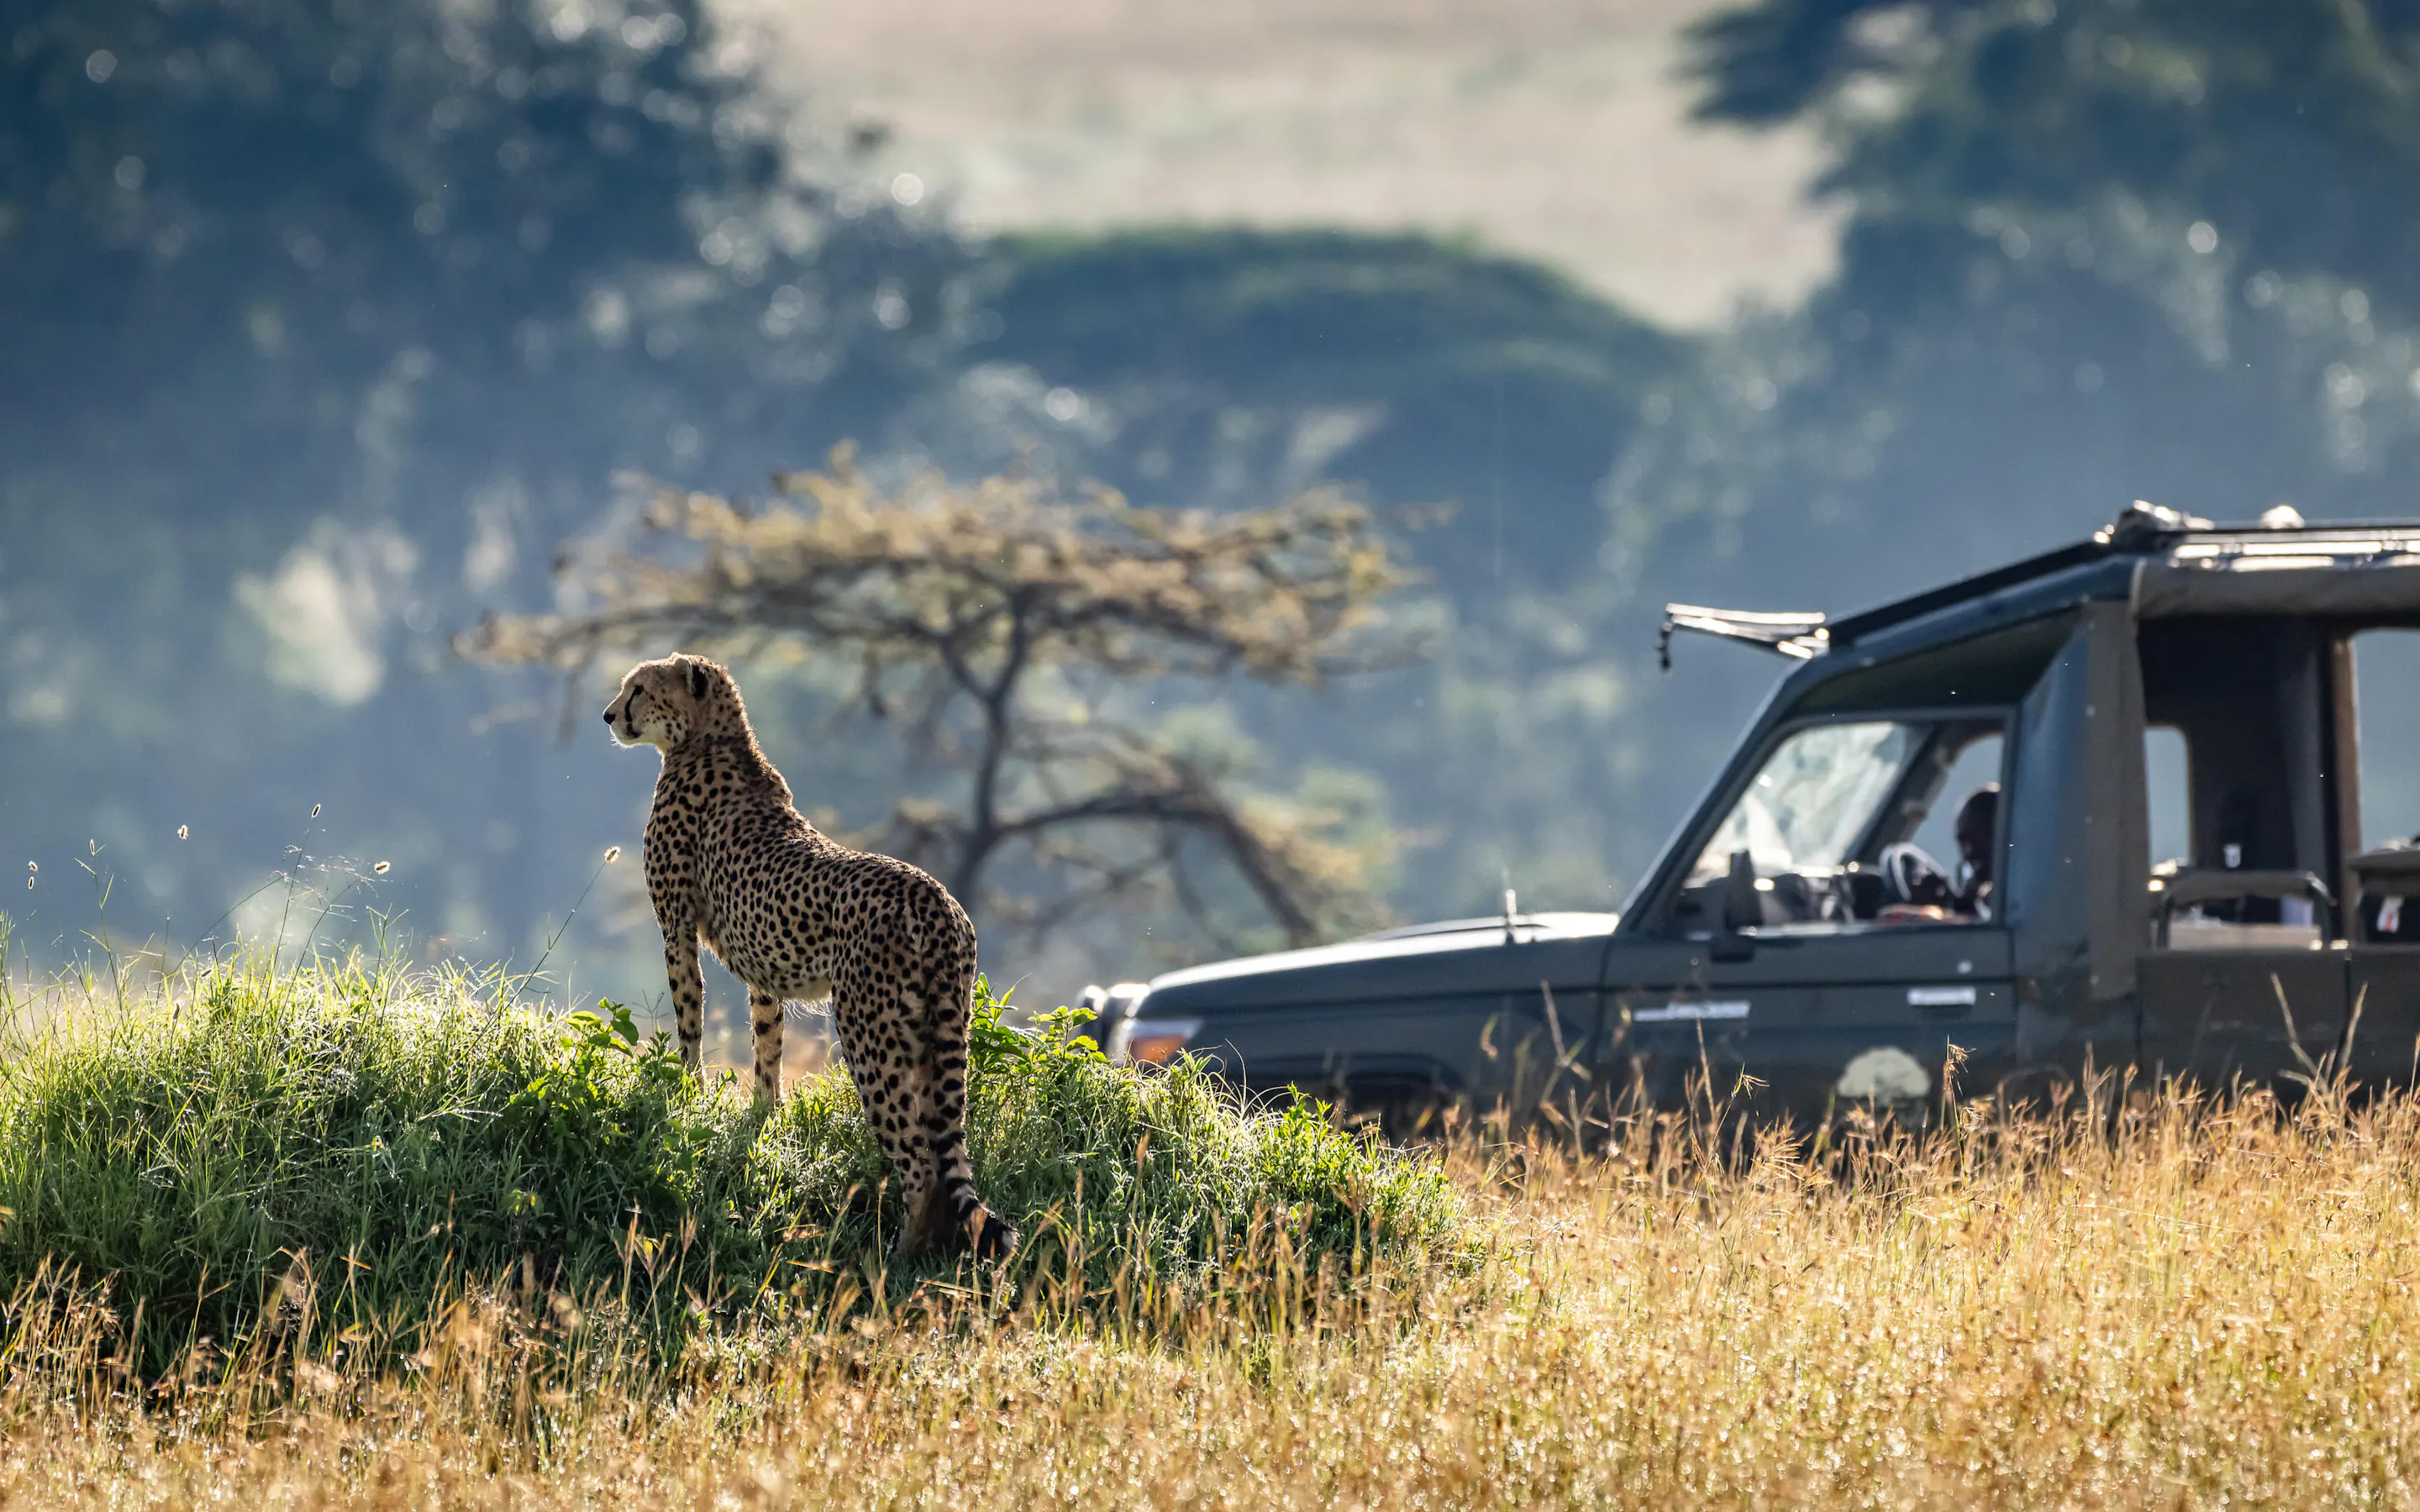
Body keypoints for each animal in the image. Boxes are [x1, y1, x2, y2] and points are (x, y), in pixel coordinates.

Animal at [604, 652, 1013, 1259]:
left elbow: (689, 1018)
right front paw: (762, 1117)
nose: (609, 716)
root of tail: (935, 896)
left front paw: (684, 1094)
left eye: (638, 689)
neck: (711, 737)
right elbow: (767, 1044)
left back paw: (896, 1259)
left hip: (870, 1031)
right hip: (938, 1029)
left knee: (919, 1162)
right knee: (944, 1153)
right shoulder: (765, 970)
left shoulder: (675, 927)